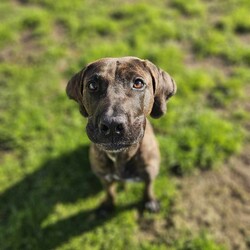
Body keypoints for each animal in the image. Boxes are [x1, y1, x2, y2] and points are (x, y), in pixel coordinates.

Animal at [66, 57, 176, 215]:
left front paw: (150, 201)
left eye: (138, 83)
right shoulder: (104, 176)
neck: (121, 156)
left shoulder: (150, 172)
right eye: (92, 85)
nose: (112, 125)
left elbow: (148, 187)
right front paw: (108, 205)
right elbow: (109, 191)